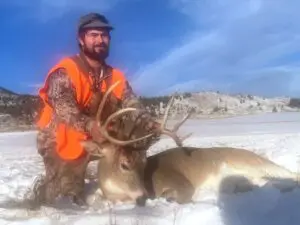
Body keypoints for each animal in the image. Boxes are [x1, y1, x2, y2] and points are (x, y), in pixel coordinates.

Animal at [80, 81, 300, 206]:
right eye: (125, 164)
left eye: (144, 163)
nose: (143, 197)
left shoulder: (181, 183)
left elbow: (180, 195)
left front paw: (167, 198)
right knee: (265, 182)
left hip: (252, 161)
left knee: (290, 174)